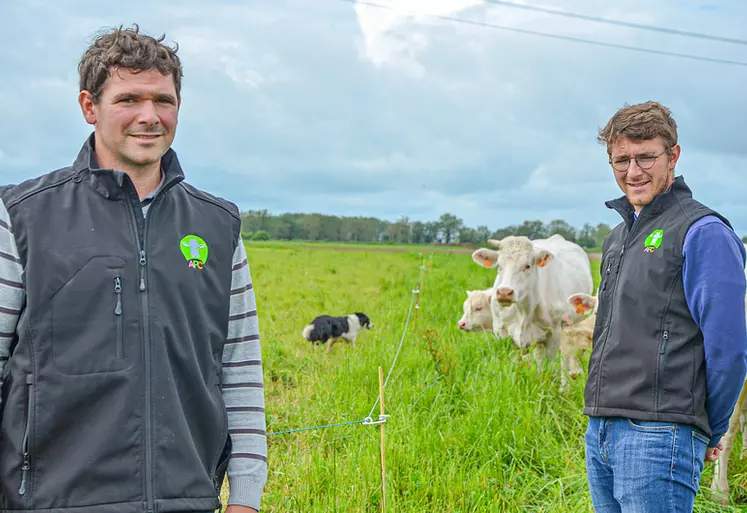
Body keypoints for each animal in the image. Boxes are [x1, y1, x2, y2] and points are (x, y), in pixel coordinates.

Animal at [474, 234, 596, 370]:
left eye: (527, 266)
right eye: (498, 266)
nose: (504, 292)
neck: (523, 310)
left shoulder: (555, 334)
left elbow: (551, 366)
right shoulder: (504, 334)